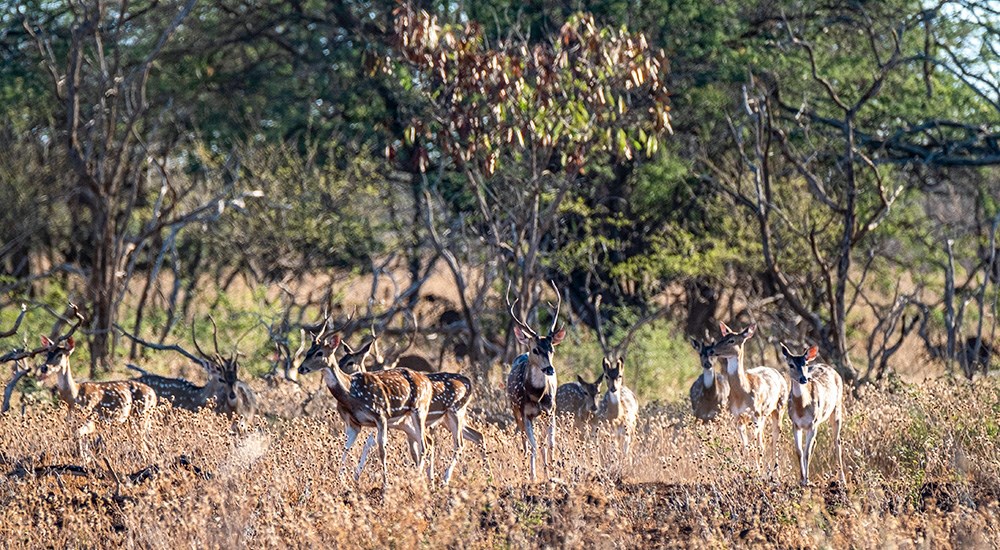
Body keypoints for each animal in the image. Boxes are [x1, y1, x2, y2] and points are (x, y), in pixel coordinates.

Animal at [33, 308, 157, 460]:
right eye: (47, 353)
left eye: (60, 354)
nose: (44, 367)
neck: (73, 397)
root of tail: (154, 395)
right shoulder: (72, 422)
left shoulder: (90, 419)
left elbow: (80, 439)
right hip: (135, 420)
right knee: (149, 446)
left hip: (140, 416)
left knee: (145, 446)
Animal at [294, 314, 432, 492]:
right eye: (308, 352)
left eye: (319, 353)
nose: (301, 368)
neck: (352, 394)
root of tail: (427, 381)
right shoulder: (354, 423)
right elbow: (345, 448)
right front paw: (340, 480)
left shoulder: (381, 416)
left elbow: (381, 450)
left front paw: (385, 484)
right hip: (406, 420)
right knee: (425, 442)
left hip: (419, 410)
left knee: (425, 445)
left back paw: (419, 479)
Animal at [504, 282, 568, 480]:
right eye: (535, 350)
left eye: (552, 349)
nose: (549, 369)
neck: (537, 396)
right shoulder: (525, 413)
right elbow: (532, 444)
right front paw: (533, 476)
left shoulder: (551, 410)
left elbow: (550, 443)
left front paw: (553, 473)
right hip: (514, 409)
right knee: (524, 441)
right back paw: (526, 469)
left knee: (541, 441)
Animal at [712, 326, 788, 476]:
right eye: (722, 337)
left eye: (731, 340)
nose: (712, 350)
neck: (742, 394)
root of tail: (779, 374)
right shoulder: (737, 417)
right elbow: (746, 446)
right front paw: (746, 469)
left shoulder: (755, 415)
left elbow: (754, 445)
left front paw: (757, 470)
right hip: (764, 417)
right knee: (762, 441)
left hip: (779, 408)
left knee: (774, 439)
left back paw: (776, 472)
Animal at [780, 344, 844, 488]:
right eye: (791, 364)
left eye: (805, 363)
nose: (804, 378)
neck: (802, 408)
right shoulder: (795, 424)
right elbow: (799, 451)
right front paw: (801, 479)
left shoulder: (812, 423)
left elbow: (807, 452)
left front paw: (807, 480)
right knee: (815, 443)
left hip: (837, 408)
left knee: (837, 441)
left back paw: (842, 479)